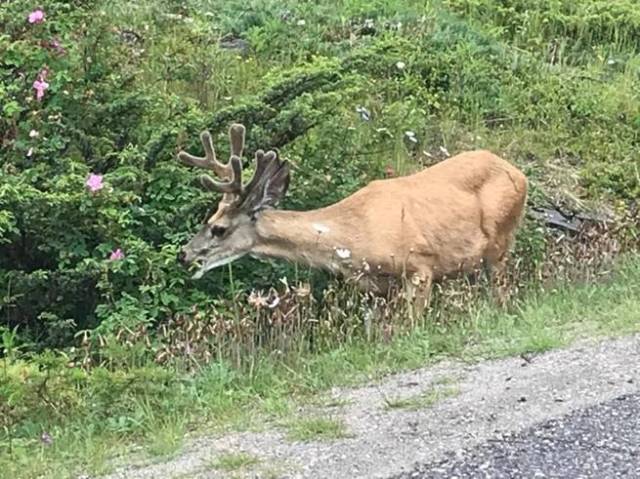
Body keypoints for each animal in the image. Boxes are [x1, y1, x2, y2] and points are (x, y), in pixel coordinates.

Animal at [176, 123, 528, 315]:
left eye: (218, 228)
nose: (184, 254)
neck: (353, 235)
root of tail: (518, 172)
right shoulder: (377, 287)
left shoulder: (421, 266)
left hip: (500, 240)